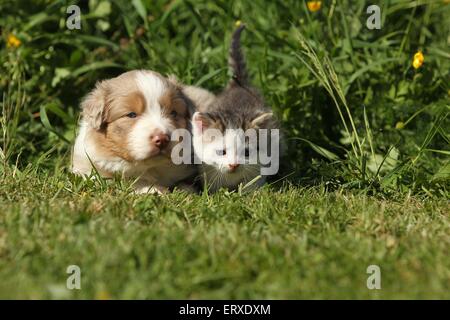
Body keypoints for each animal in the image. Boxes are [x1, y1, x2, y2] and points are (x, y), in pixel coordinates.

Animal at [187, 25, 278, 192]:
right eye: (221, 152)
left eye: (247, 152)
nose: (234, 164)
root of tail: (238, 84)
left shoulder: (260, 164)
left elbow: (253, 181)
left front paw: (251, 193)